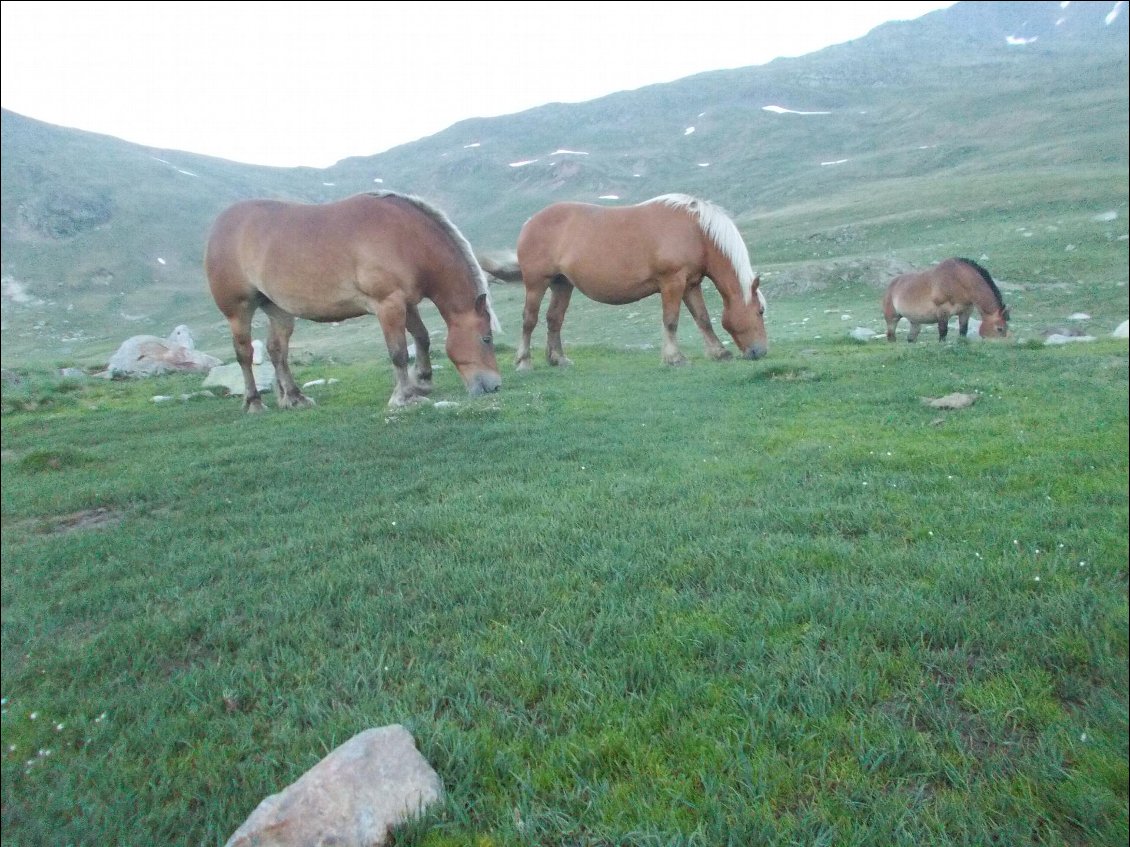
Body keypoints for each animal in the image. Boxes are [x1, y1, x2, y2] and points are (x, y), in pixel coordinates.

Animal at [204, 191, 503, 411]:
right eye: (486, 338)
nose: (496, 386)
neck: (407, 238)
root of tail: (221, 223)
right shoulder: (388, 304)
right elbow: (398, 352)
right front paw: (404, 396)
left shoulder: (406, 303)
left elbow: (422, 337)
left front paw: (423, 381)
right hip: (239, 310)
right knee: (244, 354)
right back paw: (254, 402)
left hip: (278, 310)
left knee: (278, 351)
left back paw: (294, 397)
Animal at [503, 194, 768, 370]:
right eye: (760, 311)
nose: (761, 351)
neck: (696, 231)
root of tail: (530, 222)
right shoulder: (672, 282)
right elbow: (671, 320)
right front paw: (674, 358)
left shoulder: (691, 284)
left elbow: (703, 319)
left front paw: (719, 352)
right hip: (536, 284)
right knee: (529, 320)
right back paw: (524, 362)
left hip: (562, 284)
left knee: (554, 319)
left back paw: (558, 358)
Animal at [876, 257, 1012, 343]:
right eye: (999, 328)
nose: (1004, 345)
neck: (958, 281)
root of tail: (891, 284)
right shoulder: (942, 312)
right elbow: (943, 332)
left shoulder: (966, 311)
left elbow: (963, 331)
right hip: (892, 318)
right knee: (891, 336)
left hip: (915, 321)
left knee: (911, 338)